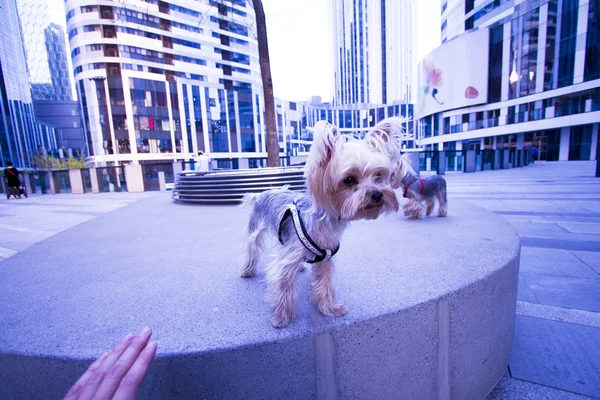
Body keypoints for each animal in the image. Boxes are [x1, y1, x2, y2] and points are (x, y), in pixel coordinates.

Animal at [239, 119, 398, 328]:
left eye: (378, 176)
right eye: (349, 180)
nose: (378, 194)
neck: (328, 221)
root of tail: (262, 193)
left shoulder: (326, 257)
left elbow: (325, 283)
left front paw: (328, 307)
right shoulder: (286, 261)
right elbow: (283, 285)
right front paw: (281, 317)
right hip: (256, 228)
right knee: (251, 247)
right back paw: (248, 270)